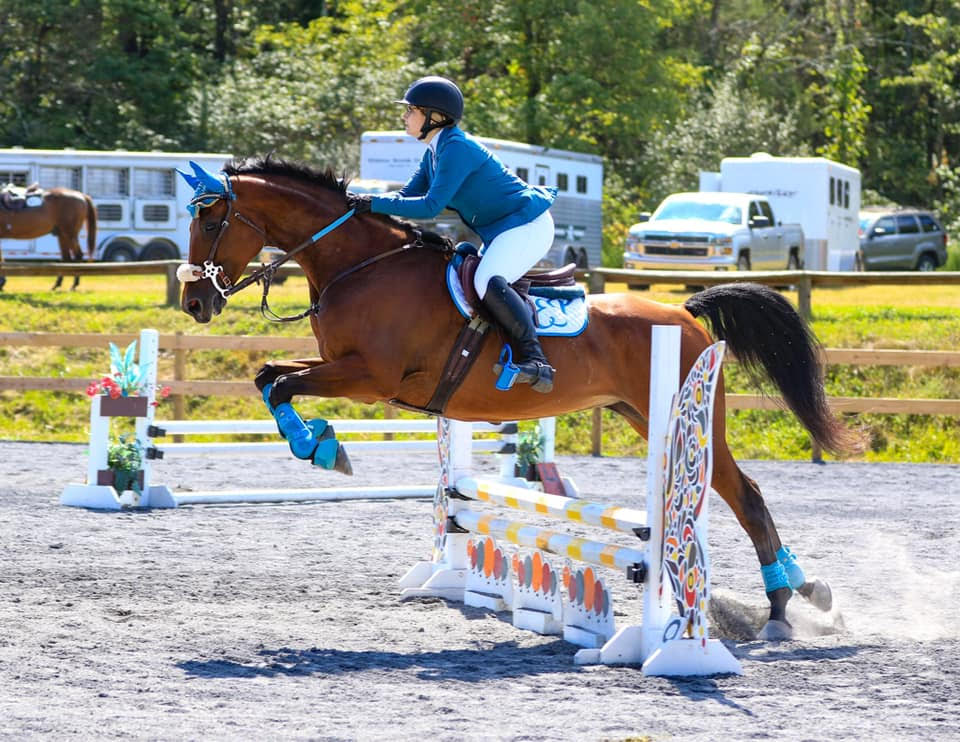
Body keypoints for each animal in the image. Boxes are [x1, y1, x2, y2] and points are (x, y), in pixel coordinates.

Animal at [178, 156, 863, 641]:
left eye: (211, 222)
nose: (196, 303)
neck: (361, 265)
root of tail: (685, 312)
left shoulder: (372, 376)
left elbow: (280, 383)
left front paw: (322, 449)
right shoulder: (342, 368)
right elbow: (270, 376)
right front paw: (321, 443)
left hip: (684, 422)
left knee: (746, 496)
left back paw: (780, 609)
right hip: (642, 417)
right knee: (744, 495)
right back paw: (804, 593)